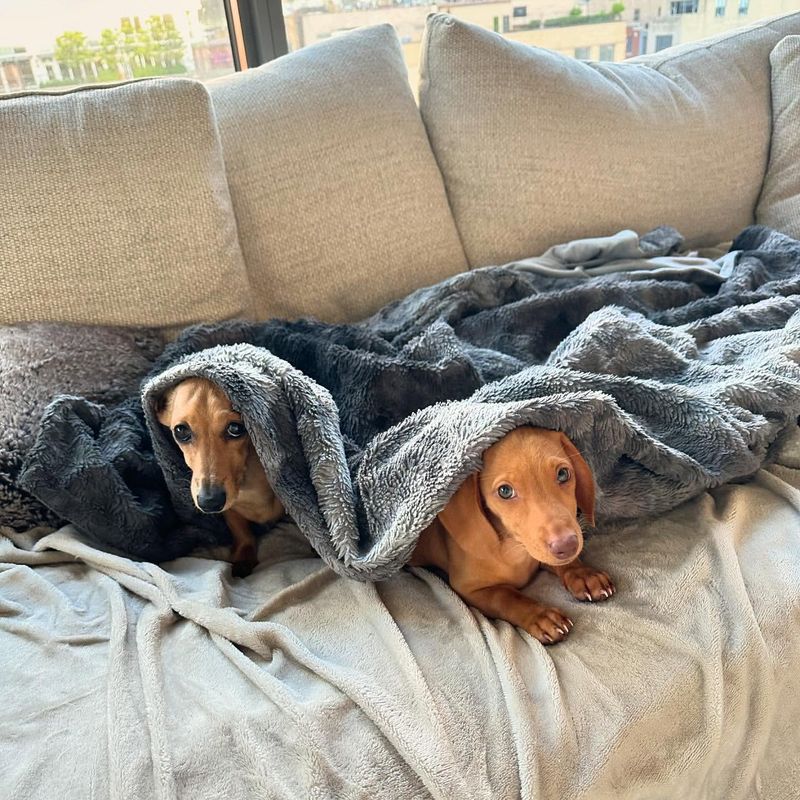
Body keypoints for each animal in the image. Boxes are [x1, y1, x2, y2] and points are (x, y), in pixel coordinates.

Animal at [156, 378, 284, 580]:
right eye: (180, 431)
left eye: (235, 428)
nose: (209, 501)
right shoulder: (230, 512)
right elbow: (241, 532)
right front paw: (244, 556)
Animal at [410, 424, 616, 644]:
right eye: (505, 491)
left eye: (563, 474)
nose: (567, 546)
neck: (514, 550)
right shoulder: (470, 589)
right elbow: (505, 597)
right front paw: (540, 615)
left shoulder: (537, 550)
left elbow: (560, 563)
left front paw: (583, 573)